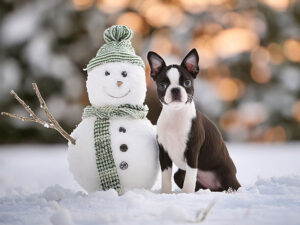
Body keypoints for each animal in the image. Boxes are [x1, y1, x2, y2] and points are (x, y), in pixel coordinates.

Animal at [146, 49, 240, 193]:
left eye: (187, 83)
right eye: (162, 85)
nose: (175, 89)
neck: (176, 115)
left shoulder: (192, 150)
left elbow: (190, 177)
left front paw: (186, 194)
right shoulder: (164, 152)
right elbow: (166, 176)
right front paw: (165, 193)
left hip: (227, 175)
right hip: (179, 175)